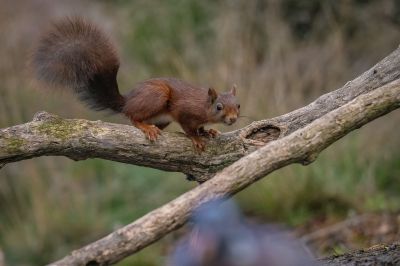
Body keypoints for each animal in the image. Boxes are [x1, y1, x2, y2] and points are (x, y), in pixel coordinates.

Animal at [31, 18, 239, 152]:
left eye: (238, 105)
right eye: (219, 107)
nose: (233, 119)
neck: (203, 106)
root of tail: (127, 101)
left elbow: (201, 127)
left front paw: (209, 131)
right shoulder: (184, 111)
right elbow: (188, 128)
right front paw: (196, 137)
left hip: (161, 117)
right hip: (157, 96)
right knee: (132, 116)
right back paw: (145, 127)